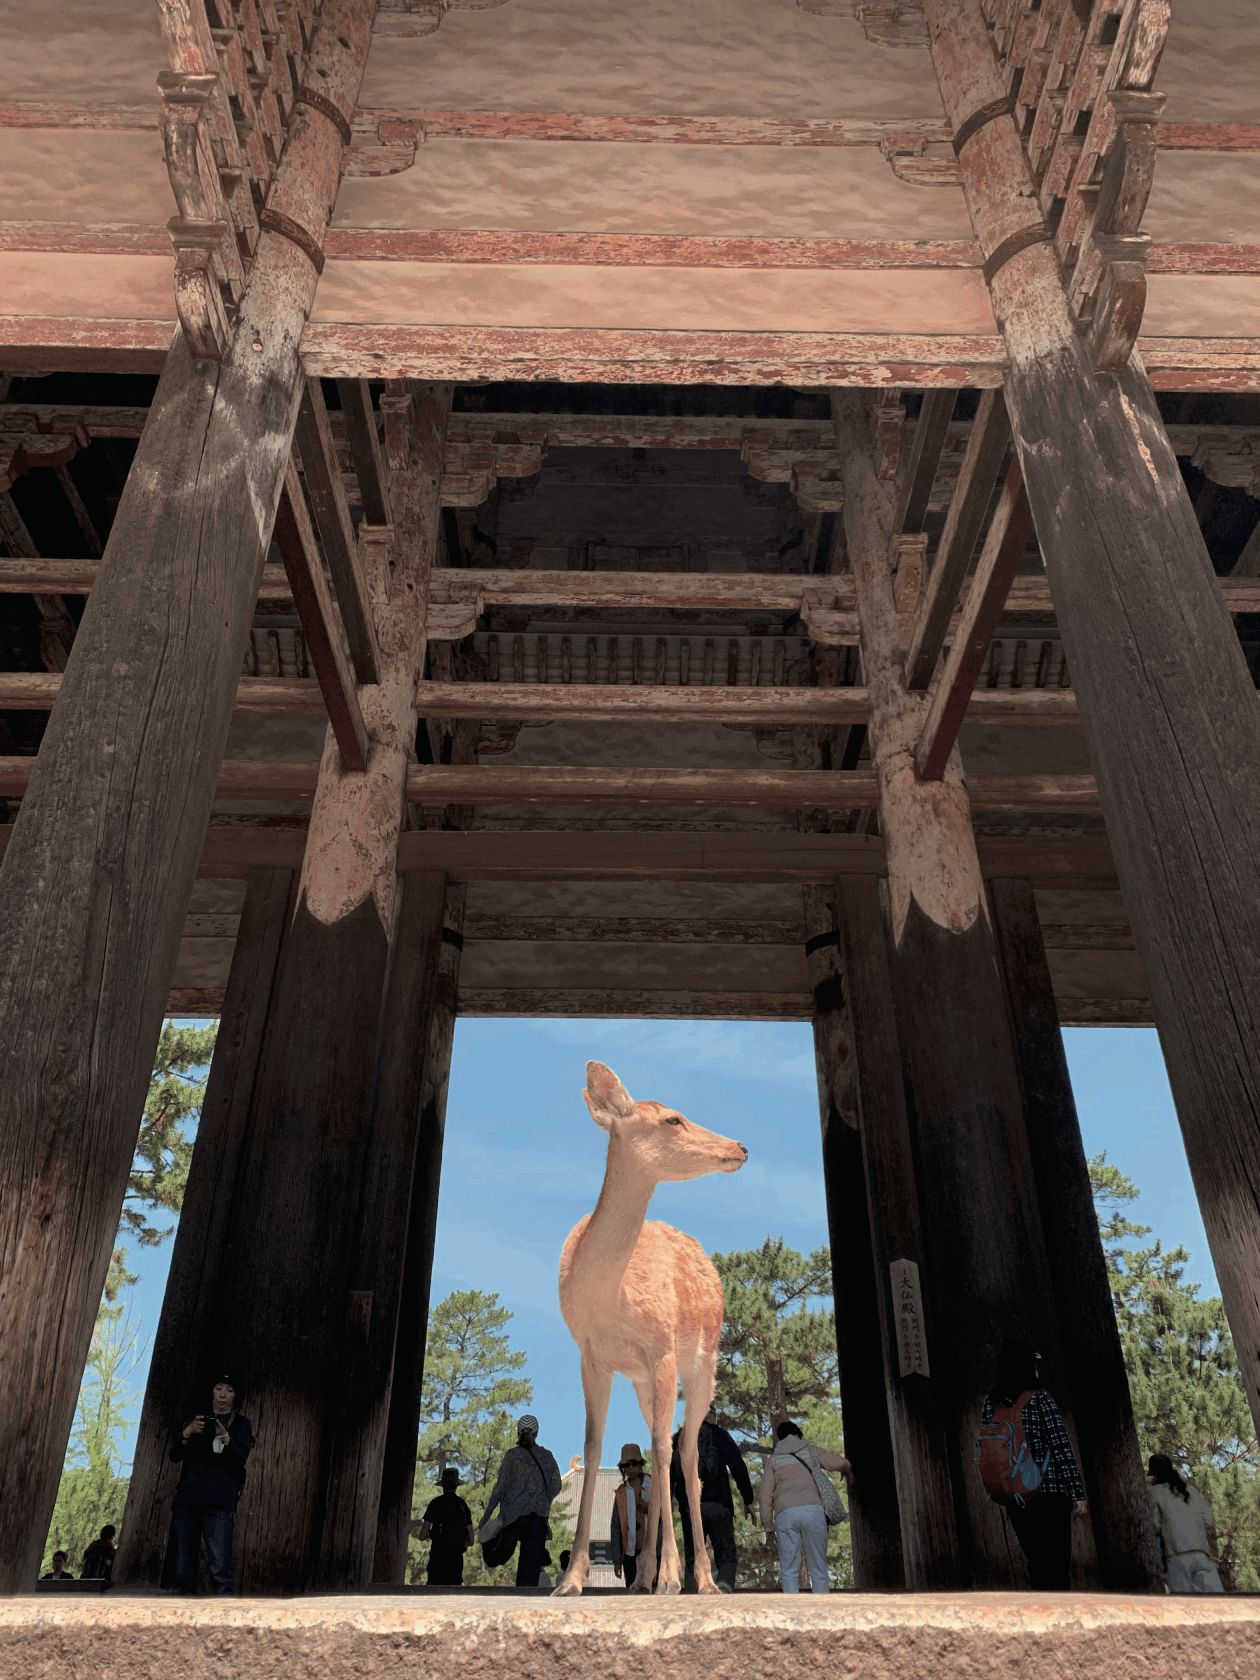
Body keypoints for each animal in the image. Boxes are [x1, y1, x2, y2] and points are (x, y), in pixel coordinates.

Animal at [554, 1055, 749, 1592]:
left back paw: (696, 1576)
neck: (611, 1298)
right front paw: (571, 1578)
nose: (740, 1146)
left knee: (685, 1455)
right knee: (657, 1445)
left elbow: (665, 1451)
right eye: (672, 1119)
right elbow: (594, 1445)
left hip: (704, 1360)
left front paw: (674, 1575)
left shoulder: (662, 1349)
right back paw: (644, 1574)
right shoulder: (592, 1355)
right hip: (644, 1380)